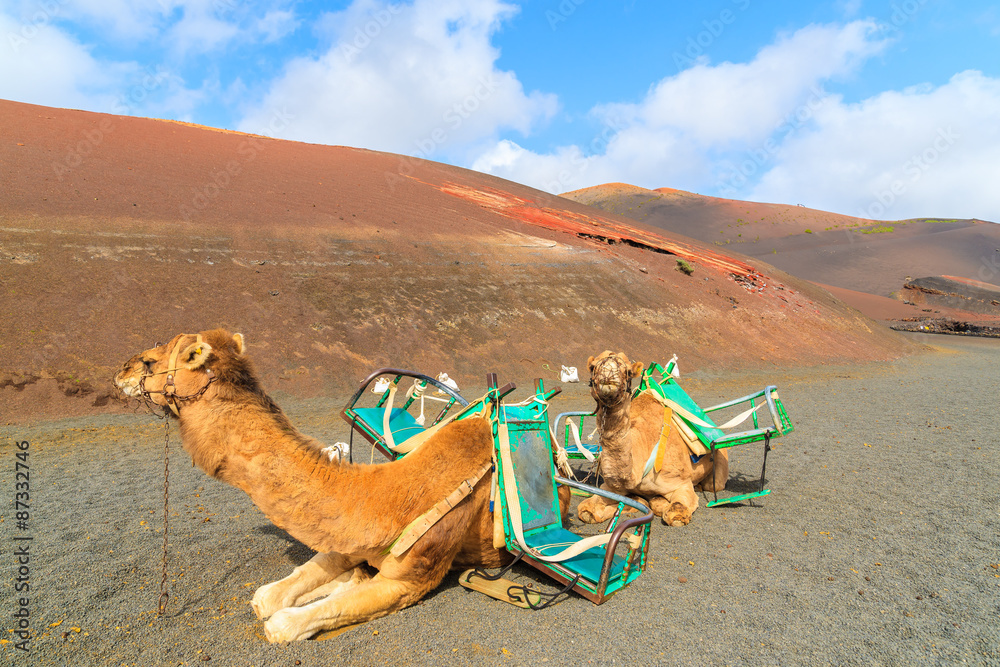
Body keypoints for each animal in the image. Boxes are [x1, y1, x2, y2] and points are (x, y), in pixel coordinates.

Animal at [114, 329, 512, 642]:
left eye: (150, 361)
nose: (120, 371)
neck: (391, 495)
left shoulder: (413, 579)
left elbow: (288, 623)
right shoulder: (349, 537)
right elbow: (273, 593)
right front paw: (339, 579)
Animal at [576, 351, 728, 527]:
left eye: (628, 371)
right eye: (592, 367)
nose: (608, 375)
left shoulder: (681, 483)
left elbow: (675, 513)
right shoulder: (610, 486)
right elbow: (586, 510)